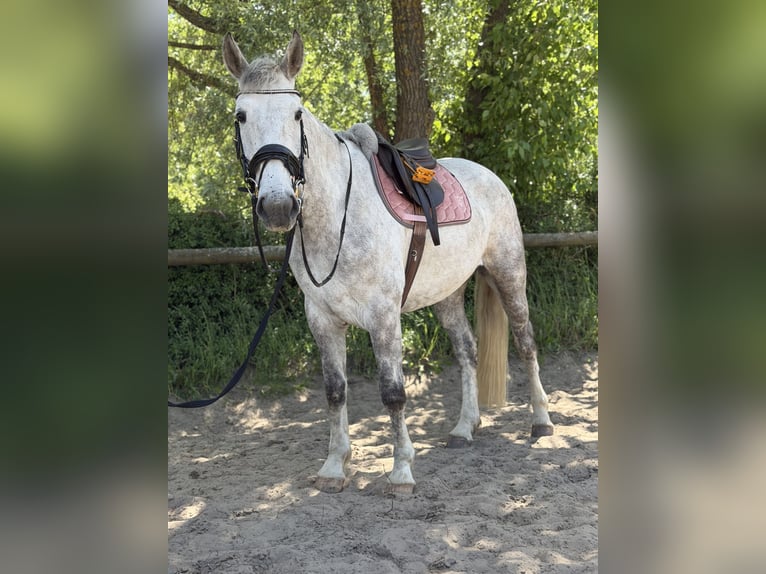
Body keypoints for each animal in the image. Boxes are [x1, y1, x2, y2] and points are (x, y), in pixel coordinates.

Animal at [222, 31, 553, 494]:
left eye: (297, 114)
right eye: (241, 116)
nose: (277, 206)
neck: (337, 216)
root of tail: (490, 176)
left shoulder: (383, 316)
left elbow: (393, 392)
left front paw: (401, 471)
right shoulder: (321, 318)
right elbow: (335, 390)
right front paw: (334, 466)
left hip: (508, 275)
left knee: (526, 342)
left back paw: (541, 421)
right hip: (448, 294)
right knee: (467, 351)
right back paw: (464, 427)